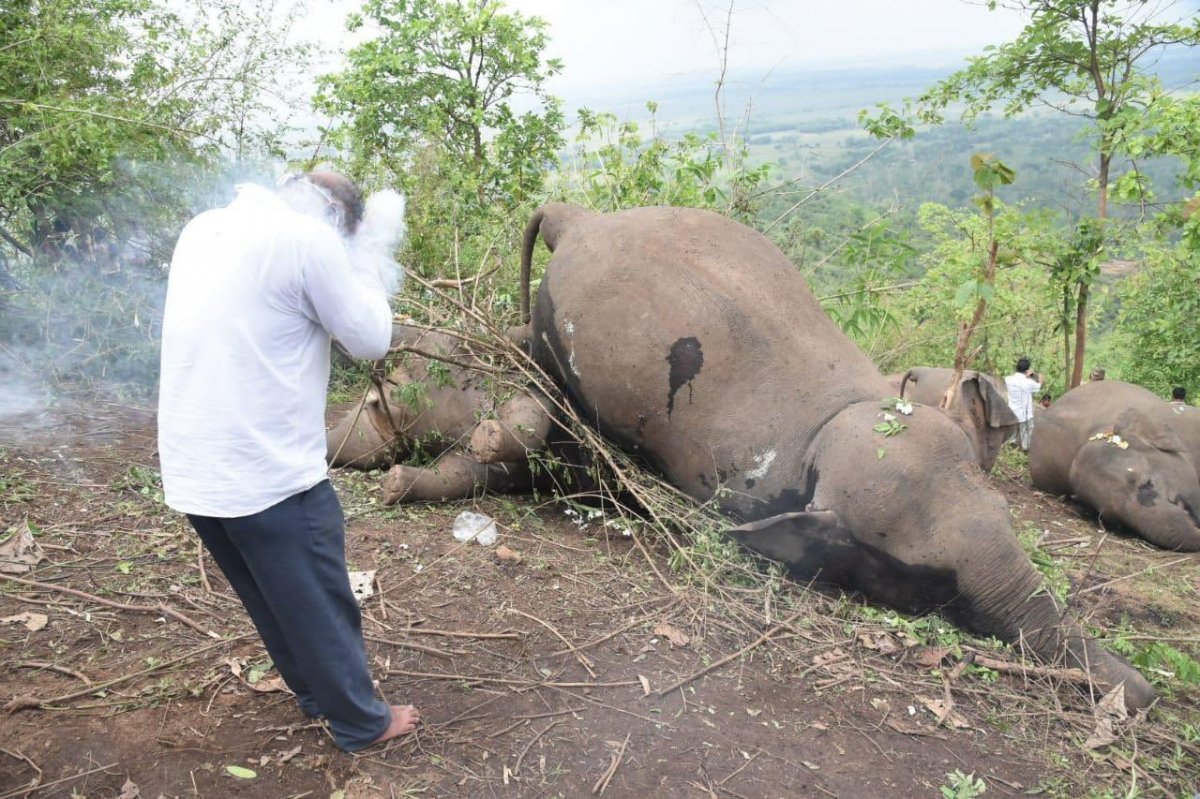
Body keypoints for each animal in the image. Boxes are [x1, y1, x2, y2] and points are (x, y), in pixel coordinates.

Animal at [513, 202, 1152, 705]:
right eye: (930, 581)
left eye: (1006, 514)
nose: (1143, 695)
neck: (836, 421)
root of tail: (579, 219)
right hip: (551, 333)